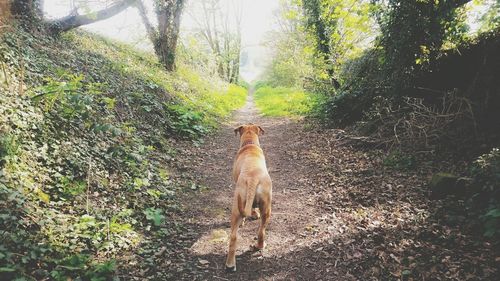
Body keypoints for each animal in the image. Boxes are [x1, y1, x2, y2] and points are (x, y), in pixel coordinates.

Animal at [227, 123, 274, 272]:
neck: (249, 144)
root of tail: (253, 177)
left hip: (236, 207)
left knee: (234, 236)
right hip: (267, 209)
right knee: (260, 232)